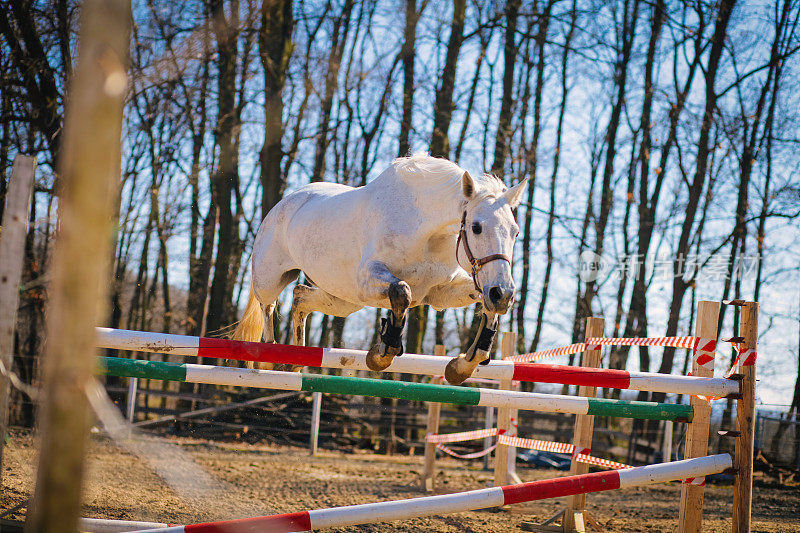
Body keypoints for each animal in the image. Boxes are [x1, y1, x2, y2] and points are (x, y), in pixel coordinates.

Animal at [231, 153, 528, 382]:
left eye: (515, 232)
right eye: (476, 227)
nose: (503, 294)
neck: (427, 232)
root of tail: (284, 202)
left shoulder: (442, 293)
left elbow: (486, 308)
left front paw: (462, 366)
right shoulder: (369, 281)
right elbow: (402, 292)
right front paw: (381, 354)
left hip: (343, 300)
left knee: (300, 297)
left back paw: (296, 358)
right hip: (271, 278)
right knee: (268, 306)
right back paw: (269, 357)